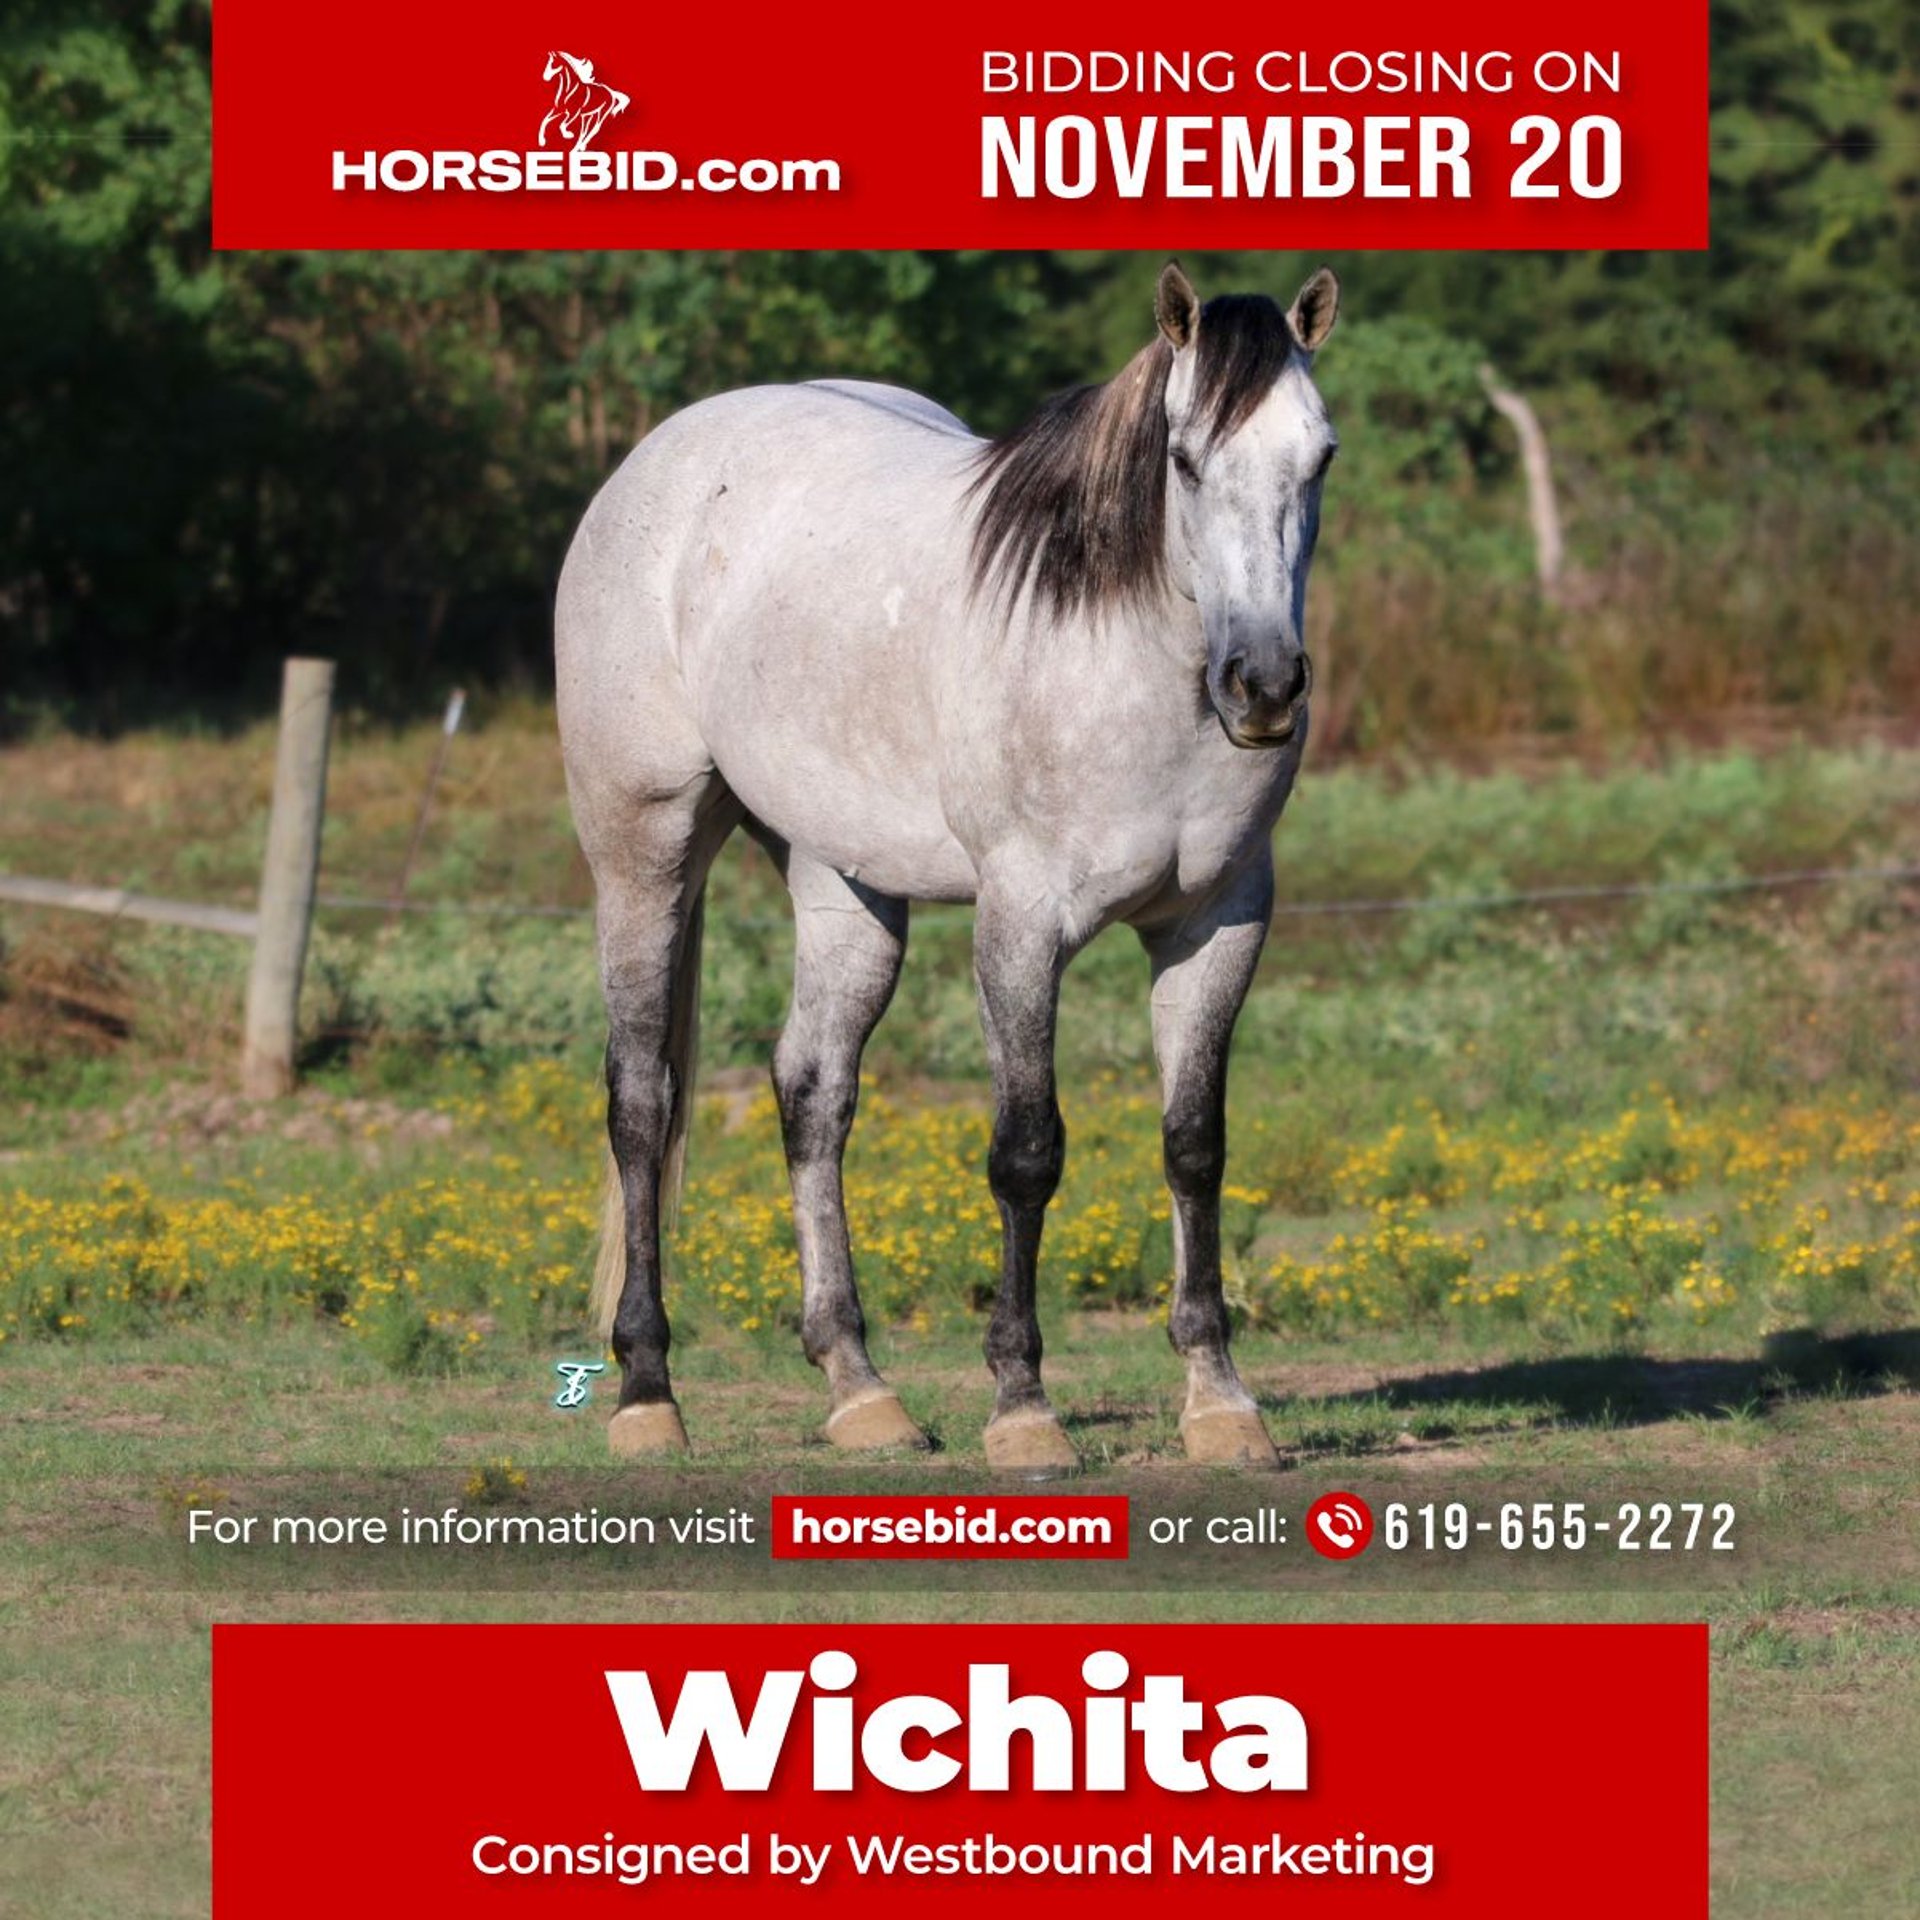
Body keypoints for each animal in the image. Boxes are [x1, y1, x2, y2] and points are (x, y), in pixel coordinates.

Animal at [557, 263, 1341, 1472]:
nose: (1262, 685)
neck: (1114, 657)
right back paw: (648, 1392)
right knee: (643, 1101)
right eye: (1183, 459)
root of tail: (659, 458)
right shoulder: (1020, 924)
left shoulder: (1218, 924)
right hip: (643, 851)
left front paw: (1221, 1401)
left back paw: (859, 1388)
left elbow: (1194, 1146)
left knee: (813, 1094)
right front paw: (1022, 1407)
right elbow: (1027, 1151)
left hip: (841, 882)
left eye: (1322, 457)